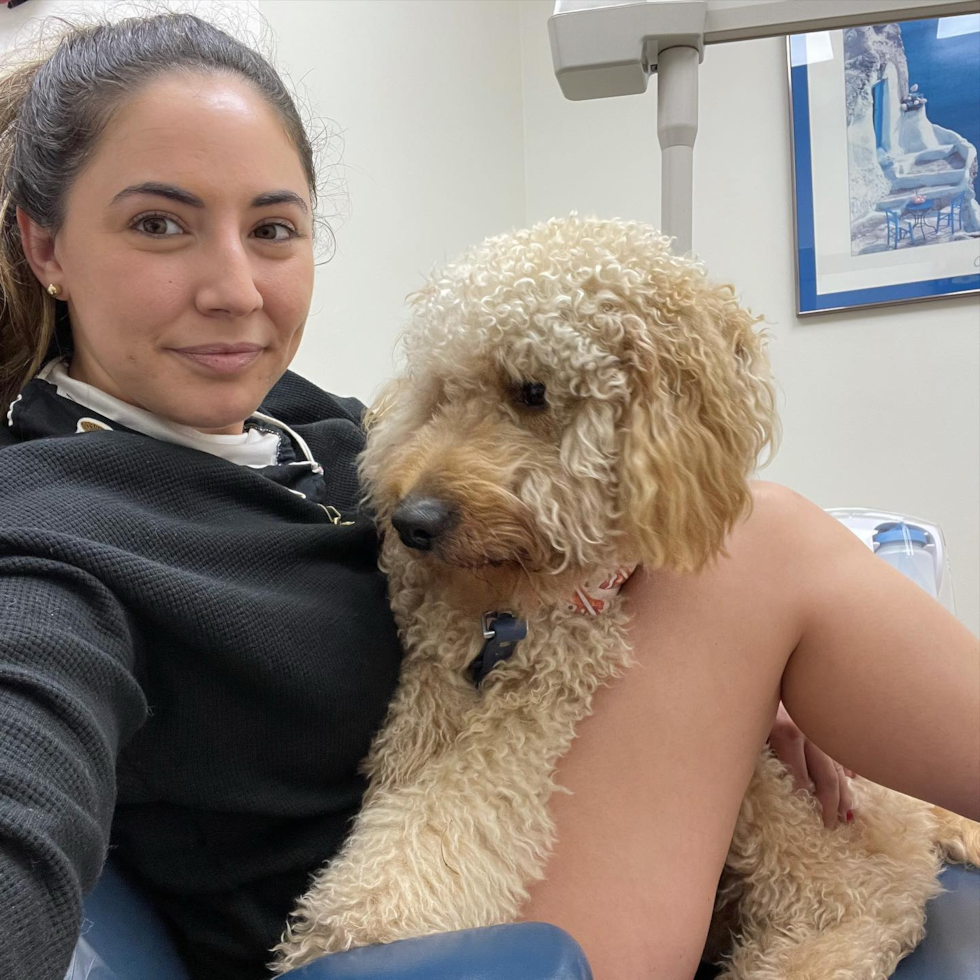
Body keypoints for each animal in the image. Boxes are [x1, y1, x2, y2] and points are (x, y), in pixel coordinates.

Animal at [274, 216, 980, 980]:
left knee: (865, 903)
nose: (413, 523)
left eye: (532, 392)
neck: (508, 609)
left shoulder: (549, 692)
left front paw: (368, 915)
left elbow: (459, 803)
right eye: (440, 392)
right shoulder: (428, 680)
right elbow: (404, 783)